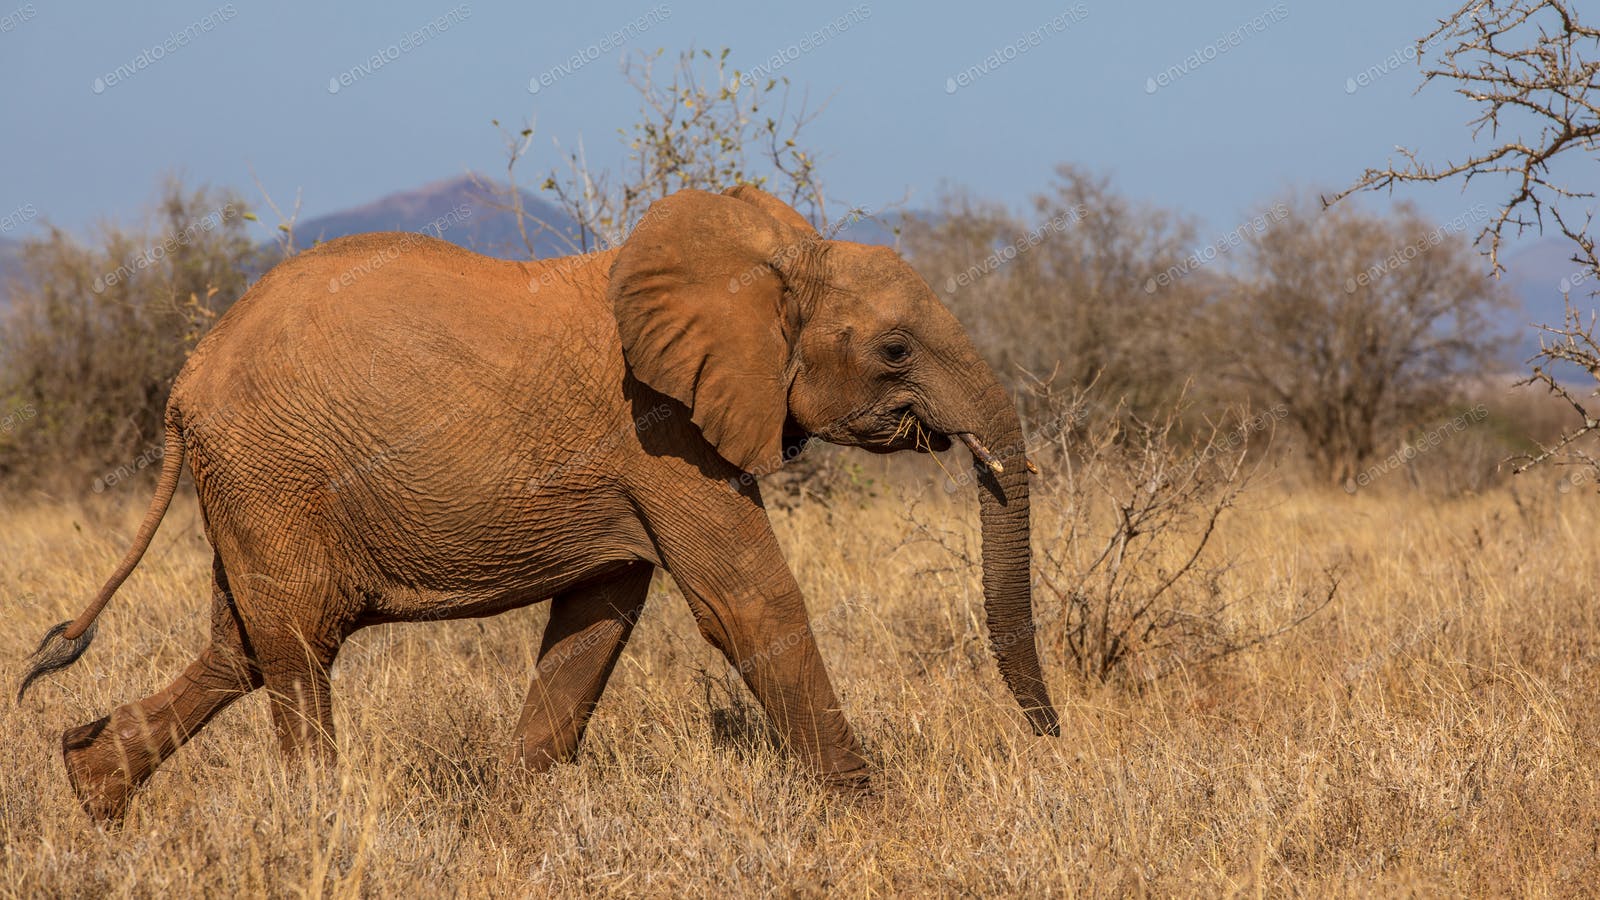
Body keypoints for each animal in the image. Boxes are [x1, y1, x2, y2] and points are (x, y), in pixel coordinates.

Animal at [19, 185, 1059, 823]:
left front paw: (509, 819)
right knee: (297, 645)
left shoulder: (635, 464)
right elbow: (748, 603)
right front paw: (870, 812)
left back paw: (88, 793)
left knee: (242, 644)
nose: (1054, 742)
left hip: (250, 485)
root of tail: (186, 377)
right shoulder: (660, 429)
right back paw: (321, 816)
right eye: (894, 349)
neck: (763, 259)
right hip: (269, 472)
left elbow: (598, 617)